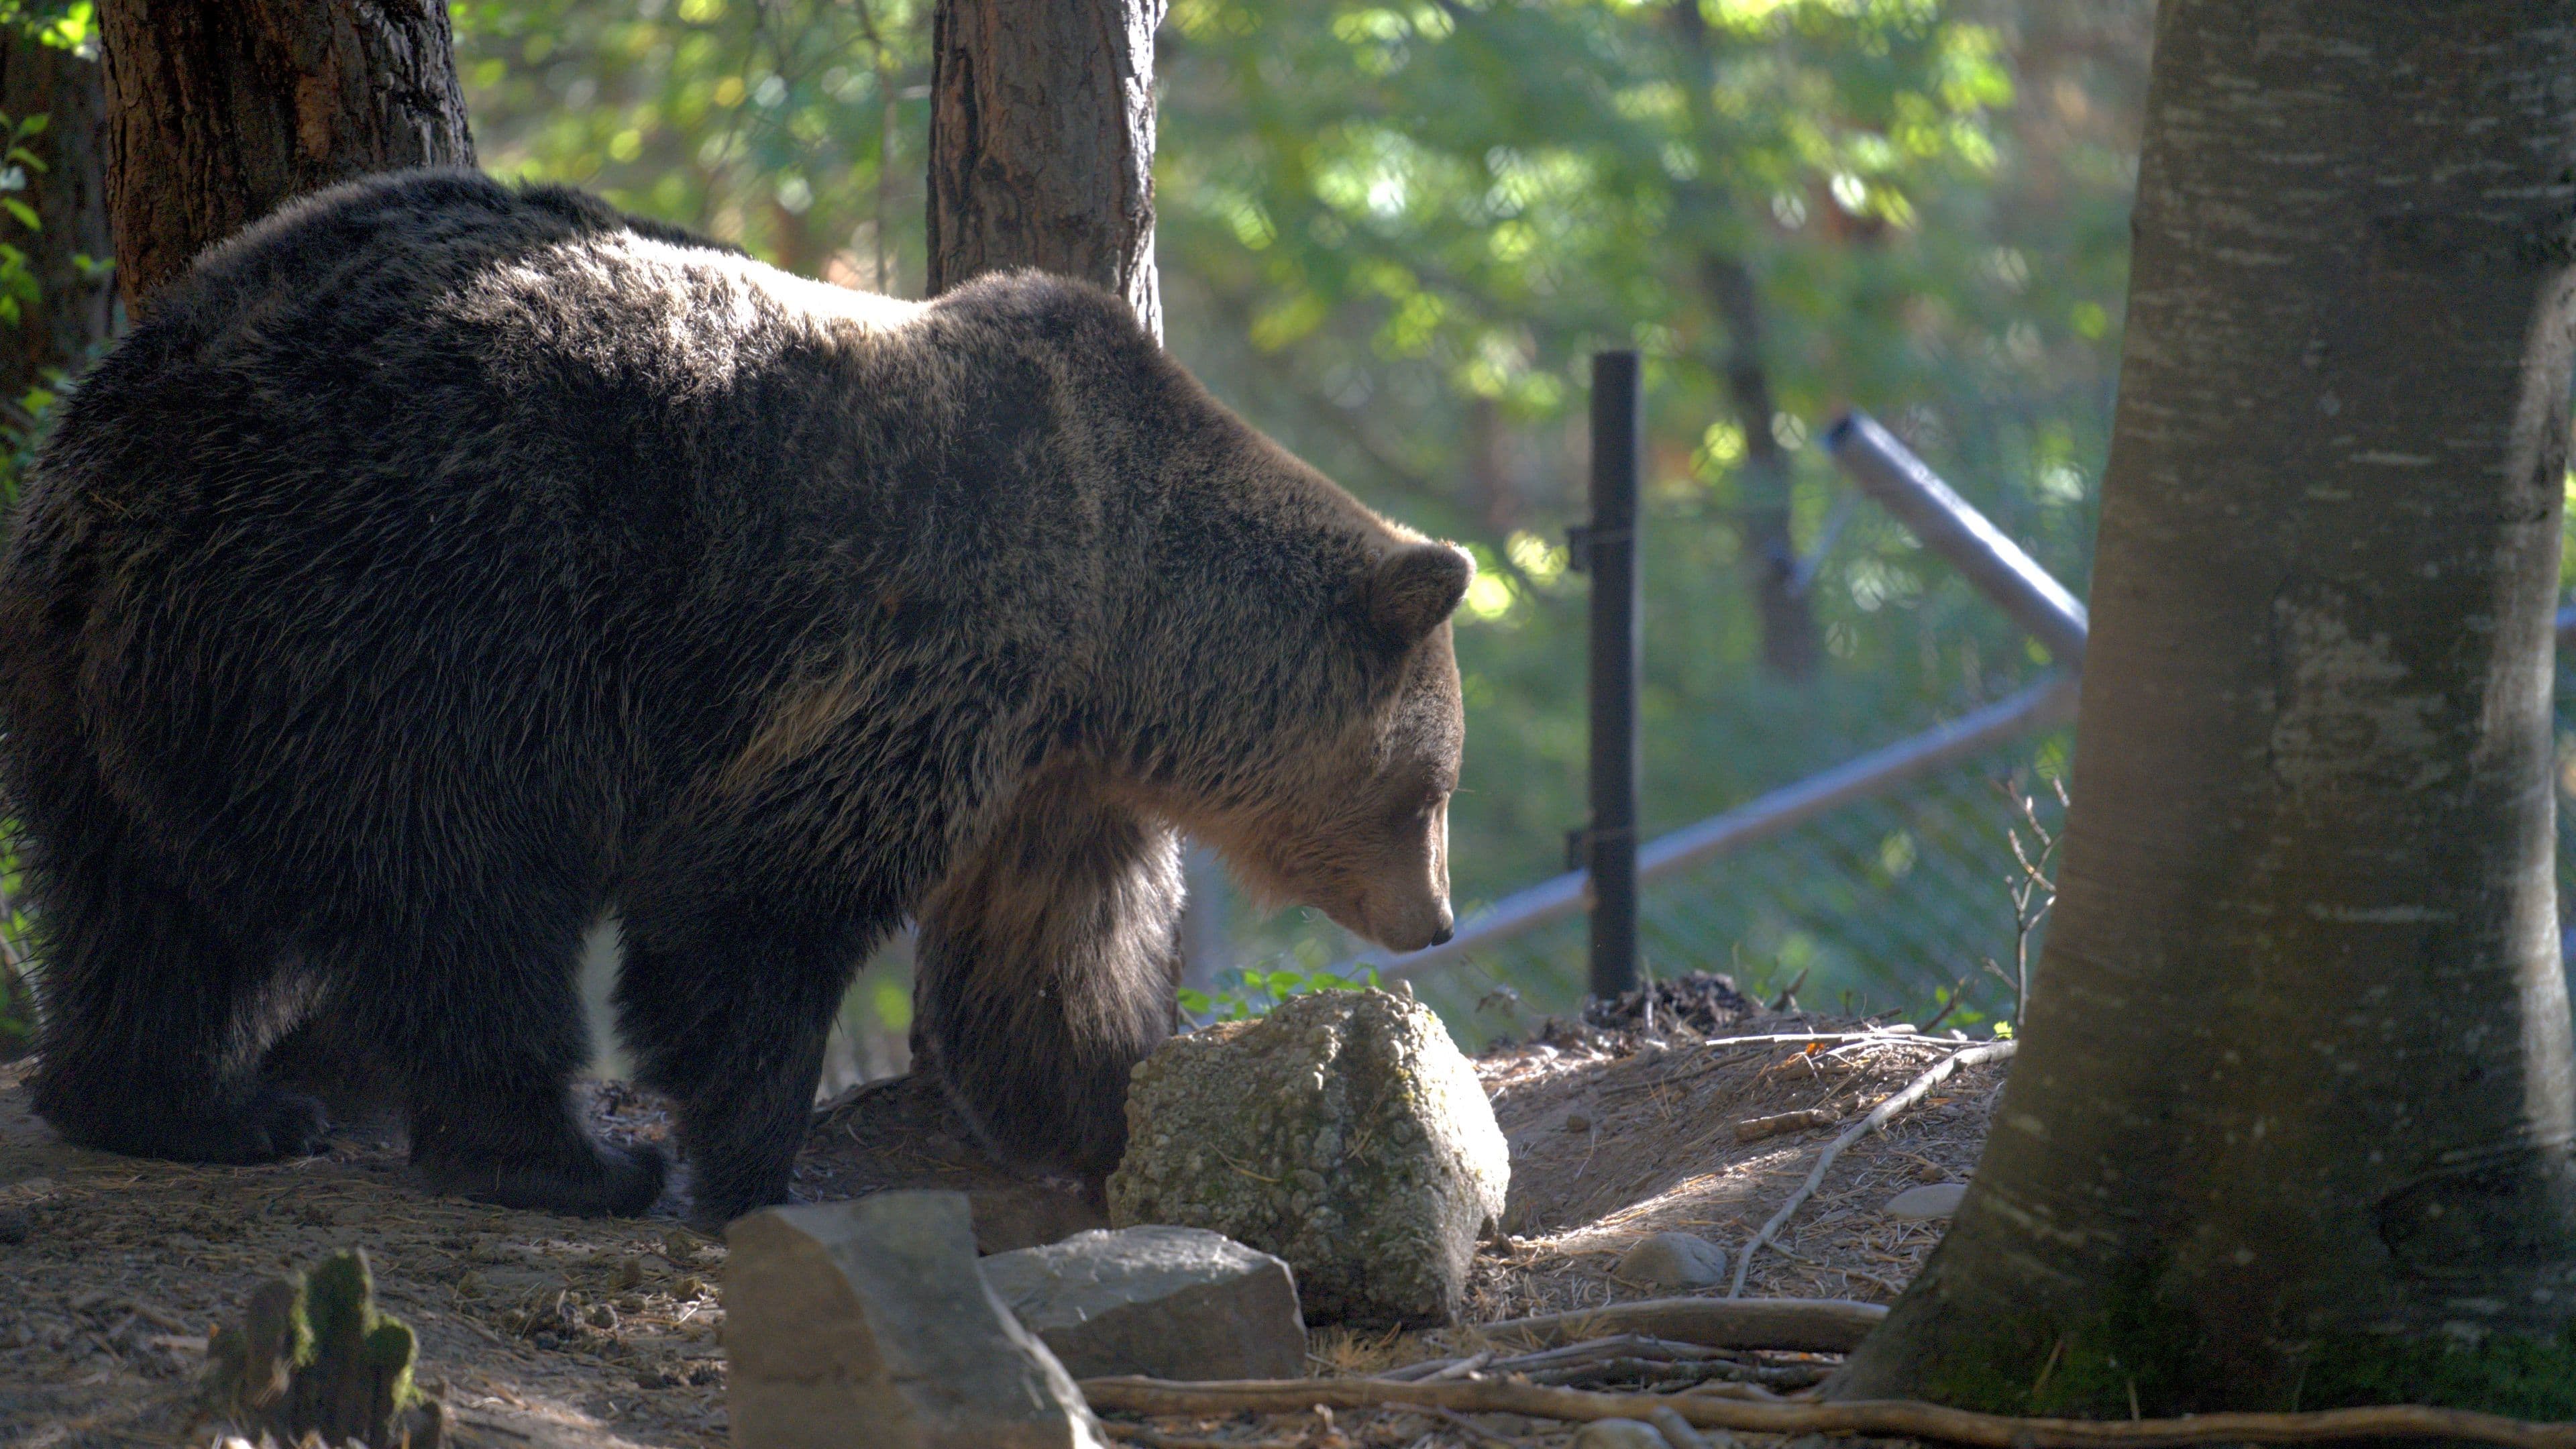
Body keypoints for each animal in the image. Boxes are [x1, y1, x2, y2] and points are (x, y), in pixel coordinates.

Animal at [0, 168, 1469, 1225]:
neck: (1126, 636)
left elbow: (1048, 967)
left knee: (134, 901)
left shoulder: (1044, 769)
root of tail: (141, 429)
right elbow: (753, 911)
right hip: (424, 612)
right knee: (465, 905)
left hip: (102, 659)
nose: (1438, 920)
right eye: (1426, 791)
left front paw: (1118, 1115)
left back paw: (182, 1106)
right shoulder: (927, 641)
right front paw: (757, 1171)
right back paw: (563, 1161)